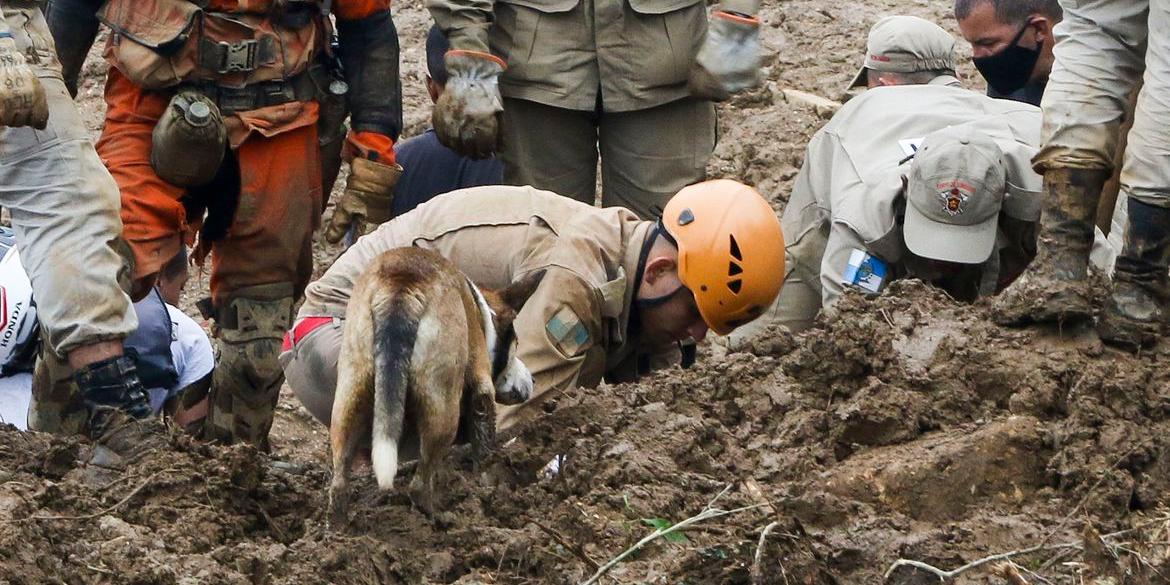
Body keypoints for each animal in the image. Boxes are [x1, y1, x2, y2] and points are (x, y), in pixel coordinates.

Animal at [329, 246, 542, 526]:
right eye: (515, 347)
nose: (533, 380)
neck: (482, 314)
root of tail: (402, 286)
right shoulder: (482, 389)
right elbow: (483, 443)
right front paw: (485, 485)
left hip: (350, 394)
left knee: (339, 482)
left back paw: (337, 529)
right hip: (443, 409)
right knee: (418, 486)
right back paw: (439, 517)